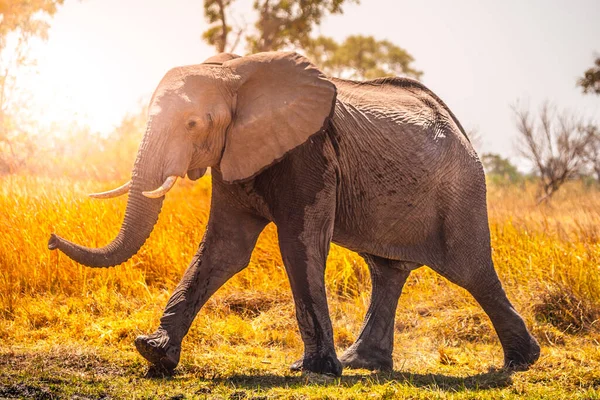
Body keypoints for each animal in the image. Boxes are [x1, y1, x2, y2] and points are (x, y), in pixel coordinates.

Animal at [49, 50, 540, 376]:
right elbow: (225, 250)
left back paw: (522, 362)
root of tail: (458, 127)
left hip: (462, 190)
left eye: (192, 124)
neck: (234, 74)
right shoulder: (235, 155)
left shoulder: (309, 152)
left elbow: (299, 244)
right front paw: (153, 353)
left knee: (471, 270)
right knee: (387, 270)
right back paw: (362, 363)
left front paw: (315, 370)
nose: (52, 238)